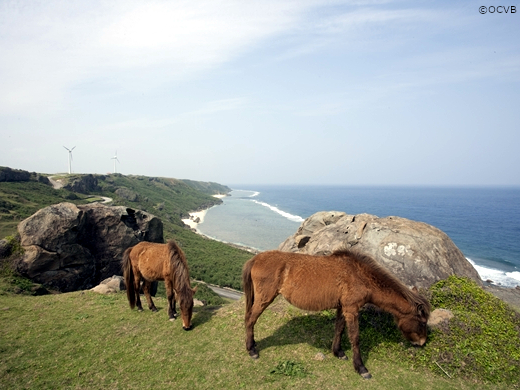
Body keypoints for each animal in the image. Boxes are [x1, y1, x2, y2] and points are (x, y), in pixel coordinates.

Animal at [244, 248, 430, 380]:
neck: (360, 276)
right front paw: (361, 368)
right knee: (250, 320)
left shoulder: (343, 307)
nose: (422, 342)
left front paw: (338, 352)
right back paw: (251, 350)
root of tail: (256, 259)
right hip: (264, 298)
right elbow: (354, 336)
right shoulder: (352, 309)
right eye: (422, 322)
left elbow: (339, 329)